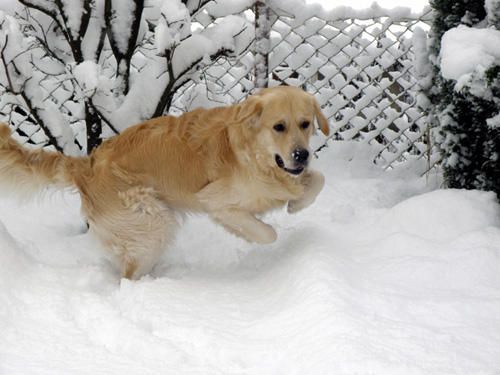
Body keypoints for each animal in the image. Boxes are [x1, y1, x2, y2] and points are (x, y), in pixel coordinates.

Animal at [0, 86, 330, 280]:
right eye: (278, 127)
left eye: (305, 124)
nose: (301, 155)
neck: (256, 156)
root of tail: (88, 165)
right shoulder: (216, 201)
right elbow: (267, 233)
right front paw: (269, 226)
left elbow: (319, 179)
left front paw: (297, 203)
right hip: (152, 220)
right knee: (128, 274)